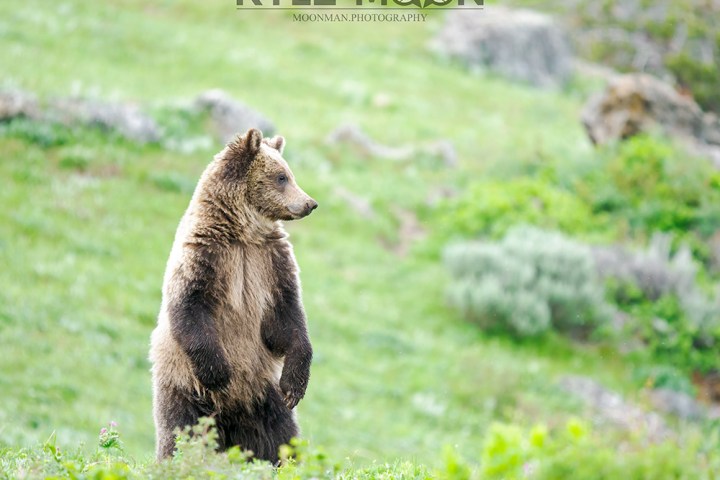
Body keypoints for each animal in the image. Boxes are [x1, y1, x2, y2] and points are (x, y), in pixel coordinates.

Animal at [149, 128, 316, 462]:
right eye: (281, 176)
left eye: (289, 173)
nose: (310, 203)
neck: (242, 233)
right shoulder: (206, 256)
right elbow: (190, 306)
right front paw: (219, 373)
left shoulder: (270, 264)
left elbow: (287, 318)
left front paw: (295, 386)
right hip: (182, 385)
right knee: (180, 431)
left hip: (264, 396)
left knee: (281, 436)